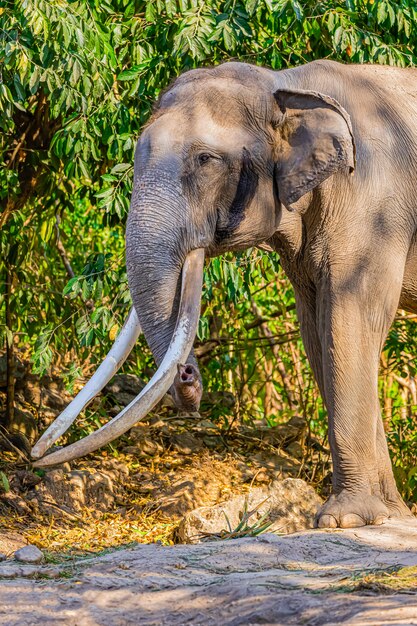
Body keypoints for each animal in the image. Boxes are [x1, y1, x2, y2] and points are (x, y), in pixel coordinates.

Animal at [32, 57, 416, 528]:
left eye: (206, 160)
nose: (188, 375)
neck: (284, 83)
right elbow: (317, 330)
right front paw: (390, 517)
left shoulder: (376, 203)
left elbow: (351, 317)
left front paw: (344, 520)